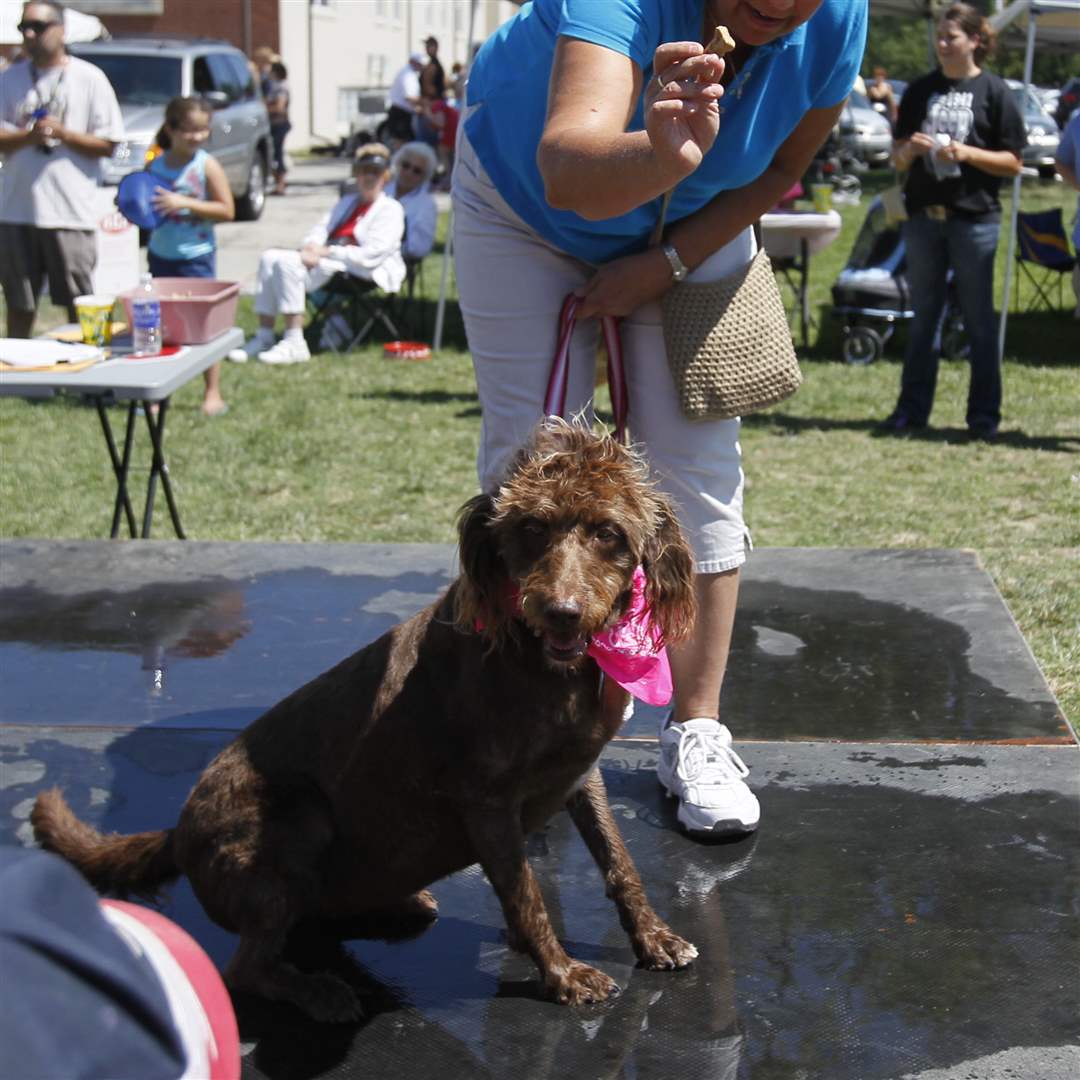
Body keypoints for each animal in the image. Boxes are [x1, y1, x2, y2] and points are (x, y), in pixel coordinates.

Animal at [31, 416, 699, 1023]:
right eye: (532, 527)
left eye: (609, 533)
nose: (562, 612)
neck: (540, 661)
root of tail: (177, 833)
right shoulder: (486, 801)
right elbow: (524, 895)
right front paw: (560, 974)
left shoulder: (580, 776)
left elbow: (619, 863)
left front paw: (654, 938)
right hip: (297, 820)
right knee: (245, 965)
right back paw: (318, 992)